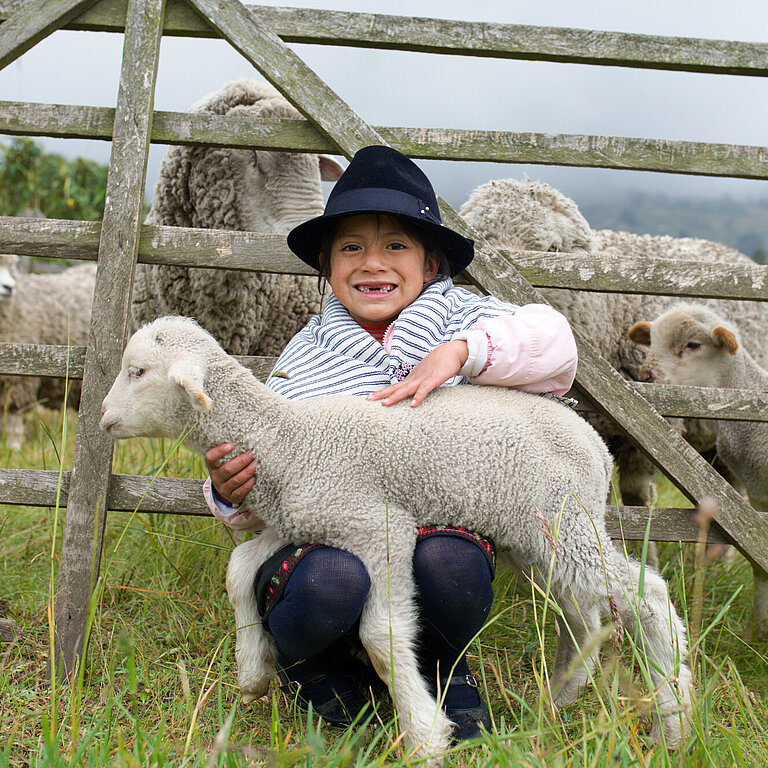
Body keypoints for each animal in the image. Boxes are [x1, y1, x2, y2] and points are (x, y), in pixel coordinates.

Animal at [99, 316, 692, 760]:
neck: (287, 441)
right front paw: (252, 669)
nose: (103, 418)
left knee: (646, 597)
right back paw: (557, 700)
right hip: (538, 537)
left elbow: (382, 639)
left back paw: (673, 721)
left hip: (564, 521)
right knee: (583, 612)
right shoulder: (306, 521)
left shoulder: (379, 527)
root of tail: (595, 443)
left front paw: (425, 733)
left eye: (137, 370)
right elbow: (240, 565)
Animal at [632, 304, 768, 640]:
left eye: (692, 344)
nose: (645, 376)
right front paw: (757, 632)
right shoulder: (758, 495)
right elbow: (761, 567)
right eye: (651, 341)